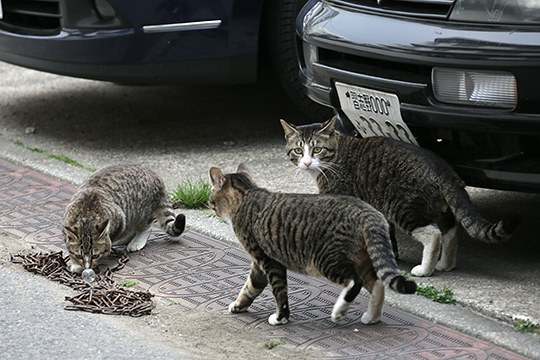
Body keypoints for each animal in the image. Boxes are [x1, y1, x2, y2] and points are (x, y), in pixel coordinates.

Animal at [208, 164, 418, 326]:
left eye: (211, 199)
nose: (210, 205)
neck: (247, 194)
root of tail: (369, 213)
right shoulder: (259, 265)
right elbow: (250, 287)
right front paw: (238, 305)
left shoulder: (268, 260)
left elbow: (279, 292)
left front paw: (280, 318)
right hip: (362, 260)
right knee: (377, 284)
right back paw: (371, 317)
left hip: (326, 260)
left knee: (355, 282)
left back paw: (339, 311)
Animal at [280, 116, 520, 278]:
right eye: (298, 151)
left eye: (317, 149)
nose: (307, 162)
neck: (336, 153)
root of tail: (443, 169)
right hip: (436, 207)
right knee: (450, 230)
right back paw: (446, 264)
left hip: (404, 207)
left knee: (433, 234)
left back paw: (425, 269)